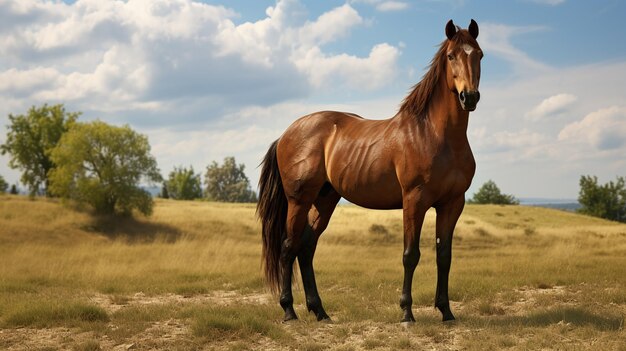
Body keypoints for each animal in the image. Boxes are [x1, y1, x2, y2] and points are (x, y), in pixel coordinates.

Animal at [256, 18, 480, 322]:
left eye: (479, 55)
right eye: (450, 56)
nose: (469, 97)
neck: (435, 135)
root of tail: (285, 134)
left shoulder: (452, 204)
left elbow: (444, 256)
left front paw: (446, 312)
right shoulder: (414, 201)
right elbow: (410, 255)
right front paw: (406, 313)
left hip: (325, 200)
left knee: (306, 248)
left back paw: (320, 311)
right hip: (298, 201)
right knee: (289, 248)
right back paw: (289, 311)